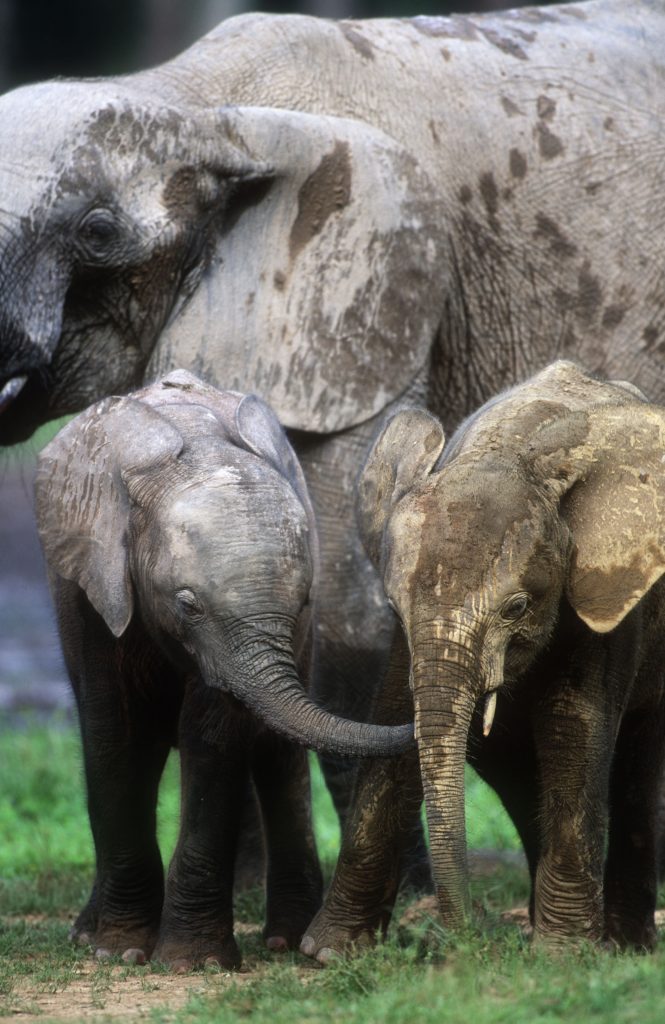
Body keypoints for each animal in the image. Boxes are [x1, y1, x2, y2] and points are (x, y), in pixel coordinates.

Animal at [33, 368, 413, 969]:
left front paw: (193, 963)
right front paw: (120, 952)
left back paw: (286, 940)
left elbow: (212, 739)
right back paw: (87, 935)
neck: (194, 451)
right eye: (187, 604)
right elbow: (114, 734)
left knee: (278, 755)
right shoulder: (94, 585)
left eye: (304, 601)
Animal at [327, 359, 665, 952]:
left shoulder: (606, 594)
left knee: (636, 761)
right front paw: (330, 951)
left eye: (516, 607)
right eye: (393, 604)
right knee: (509, 767)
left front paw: (564, 956)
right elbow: (395, 715)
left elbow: (574, 726)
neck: (508, 448)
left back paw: (626, 944)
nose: (467, 942)